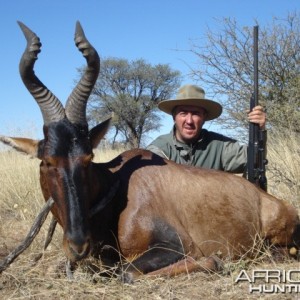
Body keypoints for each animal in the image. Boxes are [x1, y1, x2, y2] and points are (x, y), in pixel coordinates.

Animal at [0, 21, 300, 284]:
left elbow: (128, 272)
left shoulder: (174, 245)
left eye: (88, 159)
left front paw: (214, 260)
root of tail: (271, 199)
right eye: (47, 161)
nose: (78, 246)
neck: (117, 185)